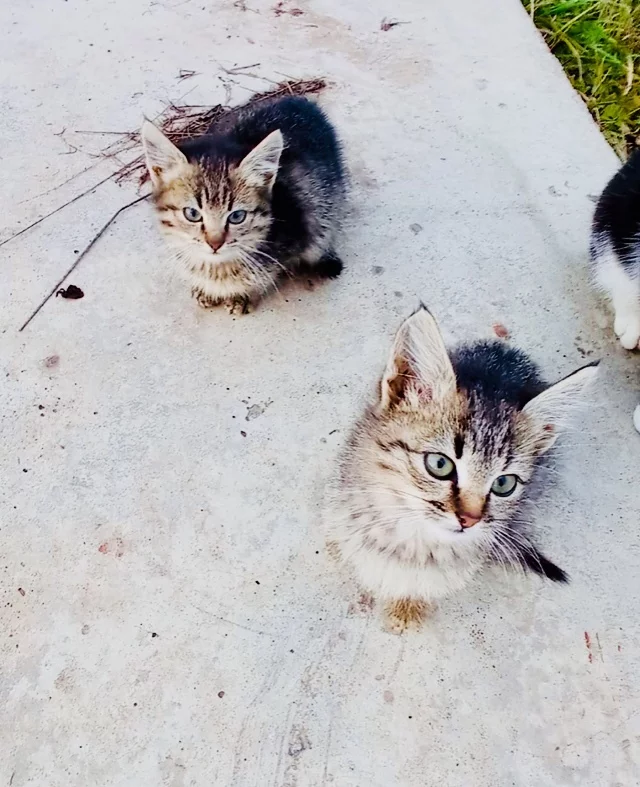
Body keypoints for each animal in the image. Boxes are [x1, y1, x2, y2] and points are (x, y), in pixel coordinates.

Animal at [142, 100, 348, 316]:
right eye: (192, 214)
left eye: (237, 216)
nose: (215, 244)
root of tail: (302, 102)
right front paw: (204, 288)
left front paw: (242, 294)